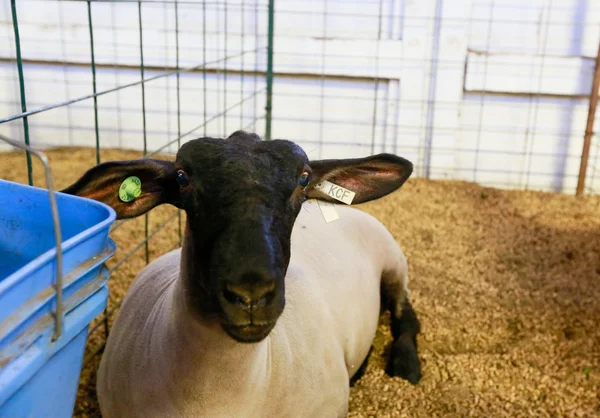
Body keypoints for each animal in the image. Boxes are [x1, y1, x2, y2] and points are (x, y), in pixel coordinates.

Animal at [63, 131, 422, 418]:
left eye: (303, 179)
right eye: (181, 178)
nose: (251, 295)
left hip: (394, 261)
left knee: (405, 313)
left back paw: (406, 366)